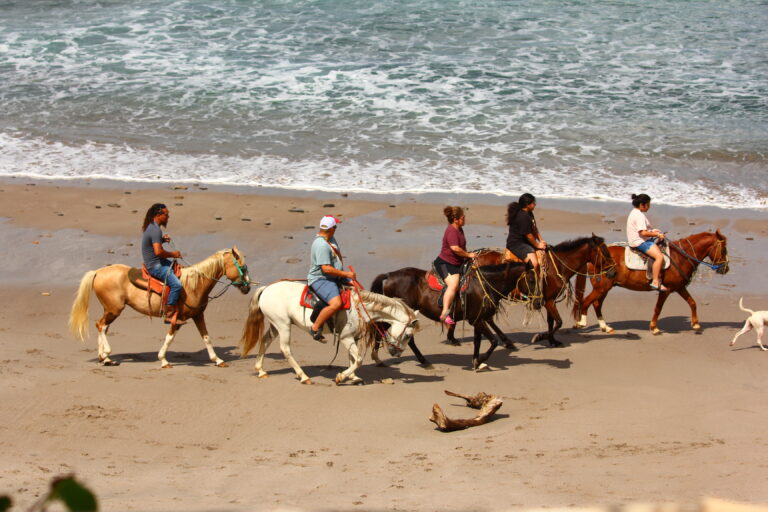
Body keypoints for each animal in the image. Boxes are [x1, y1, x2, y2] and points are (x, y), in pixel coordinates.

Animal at [69, 247, 252, 368]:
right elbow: (169, 338)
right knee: (101, 326)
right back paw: (106, 353)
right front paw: (163, 360)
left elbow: (206, 337)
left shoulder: (197, 315)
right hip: (114, 309)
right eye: (242, 267)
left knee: (102, 327)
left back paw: (105, 358)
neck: (194, 285)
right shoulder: (177, 319)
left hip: (109, 310)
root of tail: (98, 271)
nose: (248, 288)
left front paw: (218, 360)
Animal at [239, 281, 419, 385]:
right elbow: (358, 359)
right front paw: (341, 377)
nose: (396, 353)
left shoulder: (352, 337)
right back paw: (303, 376)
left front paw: (353, 377)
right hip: (283, 325)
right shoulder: (346, 337)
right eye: (408, 335)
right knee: (285, 349)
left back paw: (261, 370)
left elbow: (352, 358)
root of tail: (266, 289)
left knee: (265, 341)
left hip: (276, 325)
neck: (360, 307)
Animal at [370, 261, 537, 370]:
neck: (484, 284)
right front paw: (481, 359)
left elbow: (478, 342)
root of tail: (389, 275)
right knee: (382, 331)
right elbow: (494, 341)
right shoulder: (477, 320)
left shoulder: (478, 320)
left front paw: (476, 361)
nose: (537, 302)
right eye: (531, 280)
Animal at [458, 234, 616, 347]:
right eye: (605, 252)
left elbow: (552, 321)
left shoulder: (550, 300)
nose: (613, 272)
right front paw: (540, 336)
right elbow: (558, 322)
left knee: (489, 319)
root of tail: (473, 257)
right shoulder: (549, 300)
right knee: (488, 318)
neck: (558, 265)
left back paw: (507, 341)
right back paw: (507, 341)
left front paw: (552, 340)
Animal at [572, 230, 729, 335]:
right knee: (586, 302)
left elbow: (692, 302)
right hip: (602, 287)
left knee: (596, 304)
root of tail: (592, 258)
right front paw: (654, 327)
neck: (679, 257)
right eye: (724, 249)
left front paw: (696, 324)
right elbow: (658, 308)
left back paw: (605, 327)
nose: (726, 268)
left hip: (604, 288)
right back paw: (581, 323)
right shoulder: (666, 290)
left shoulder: (679, 287)